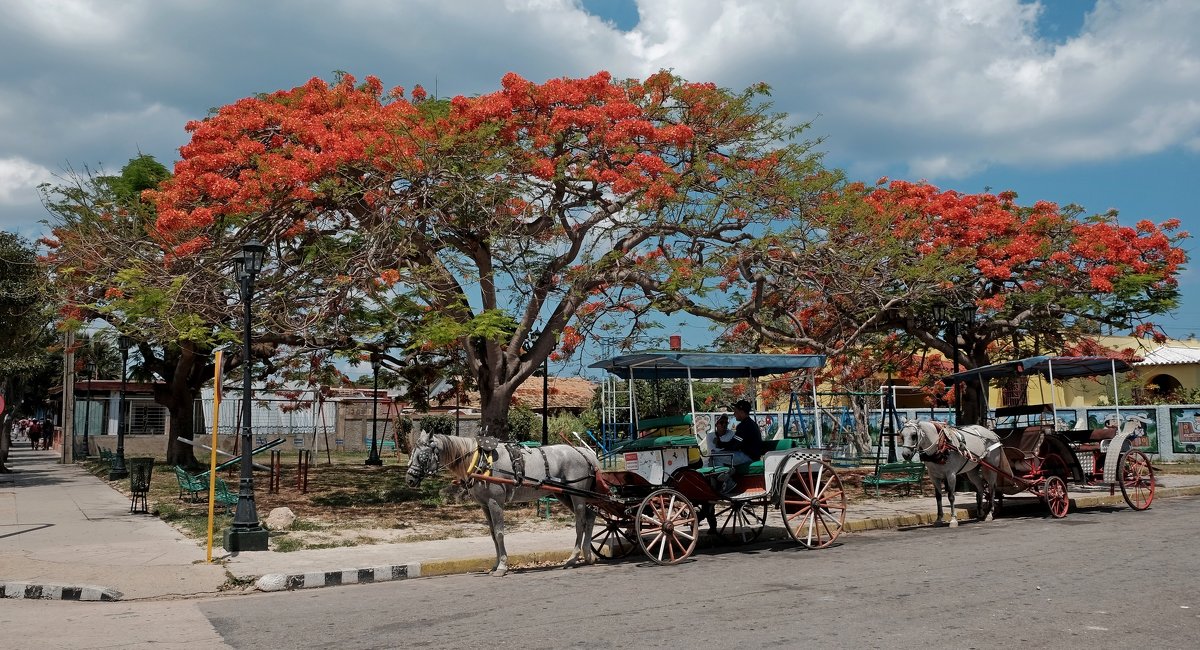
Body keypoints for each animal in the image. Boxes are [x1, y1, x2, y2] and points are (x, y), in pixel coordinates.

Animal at [408, 436, 600, 578]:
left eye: (422, 456)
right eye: (411, 454)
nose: (409, 479)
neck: (481, 462)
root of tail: (585, 452)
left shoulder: (495, 502)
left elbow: (500, 533)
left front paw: (502, 566)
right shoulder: (485, 505)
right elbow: (493, 535)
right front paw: (495, 564)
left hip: (577, 495)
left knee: (580, 523)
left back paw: (573, 558)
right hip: (563, 494)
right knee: (590, 517)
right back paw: (588, 554)